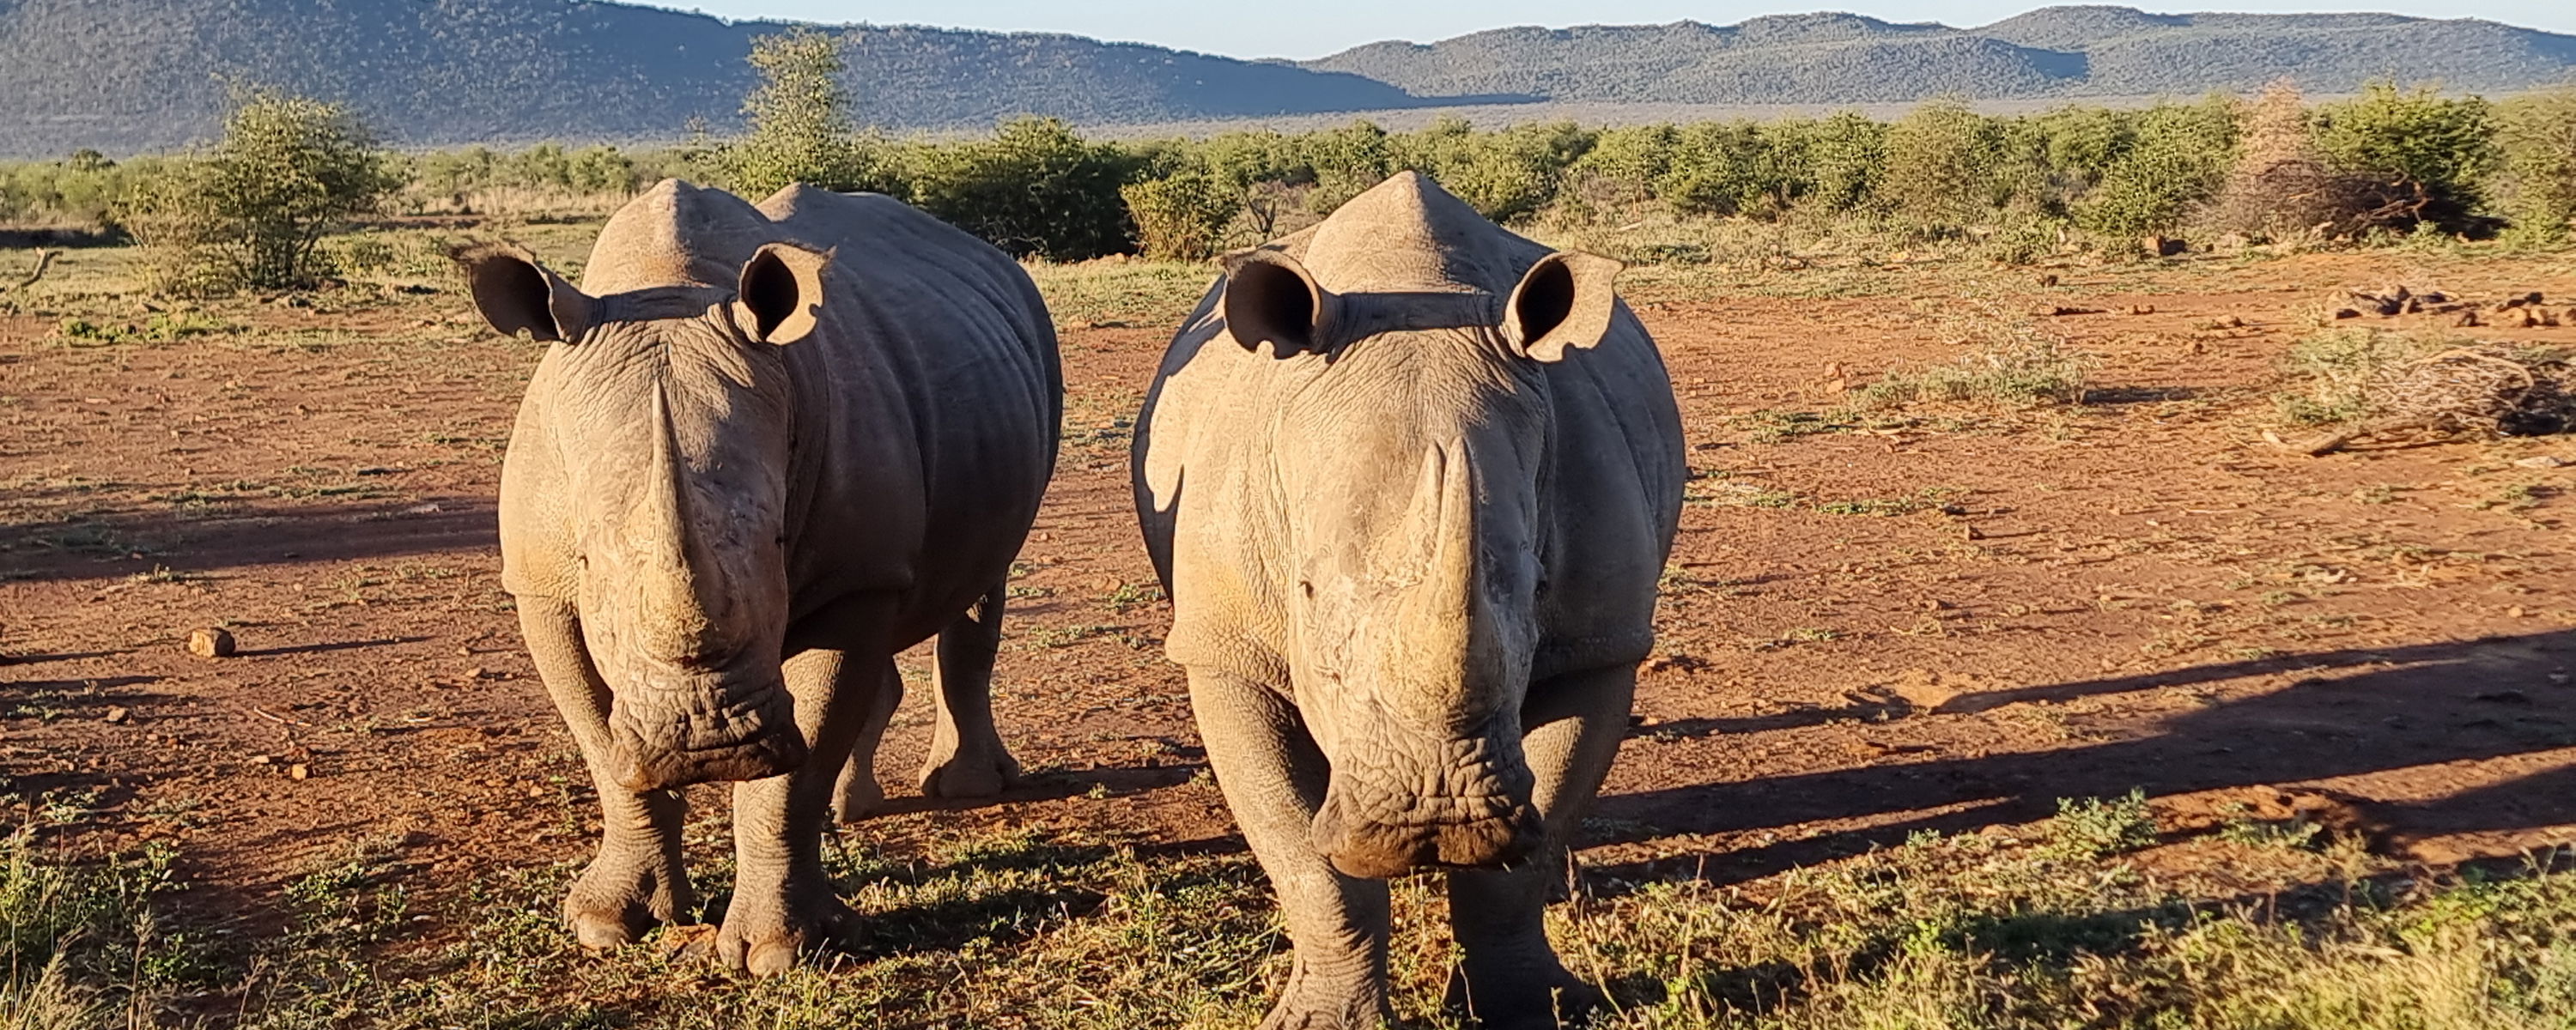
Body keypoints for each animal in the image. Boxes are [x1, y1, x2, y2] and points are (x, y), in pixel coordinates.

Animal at [456, 180, 1060, 973]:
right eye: (587, 558)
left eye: (776, 540)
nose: (706, 745)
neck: (669, 287)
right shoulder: (541, 584)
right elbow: (602, 745)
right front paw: (606, 924)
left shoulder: (852, 576)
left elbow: (790, 773)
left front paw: (781, 952)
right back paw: (851, 809)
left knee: (982, 583)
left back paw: (962, 789)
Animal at [1131, 172, 1685, 1027]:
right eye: (1304, 590)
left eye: (1536, 588)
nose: (1436, 817)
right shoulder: (1225, 645)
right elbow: (1305, 860)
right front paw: (1322, 1019)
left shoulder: (1600, 638)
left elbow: (1521, 863)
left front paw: (1527, 1007)